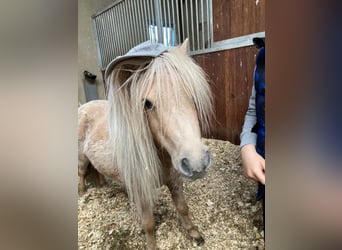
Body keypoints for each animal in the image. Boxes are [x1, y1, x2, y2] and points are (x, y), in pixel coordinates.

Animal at [78, 39, 212, 250]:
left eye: (192, 94)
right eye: (147, 104)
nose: (197, 162)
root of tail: (83, 106)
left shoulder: (175, 181)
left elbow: (183, 208)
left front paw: (194, 233)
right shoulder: (142, 191)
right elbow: (148, 223)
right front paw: (151, 244)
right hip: (81, 159)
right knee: (81, 176)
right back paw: (84, 197)